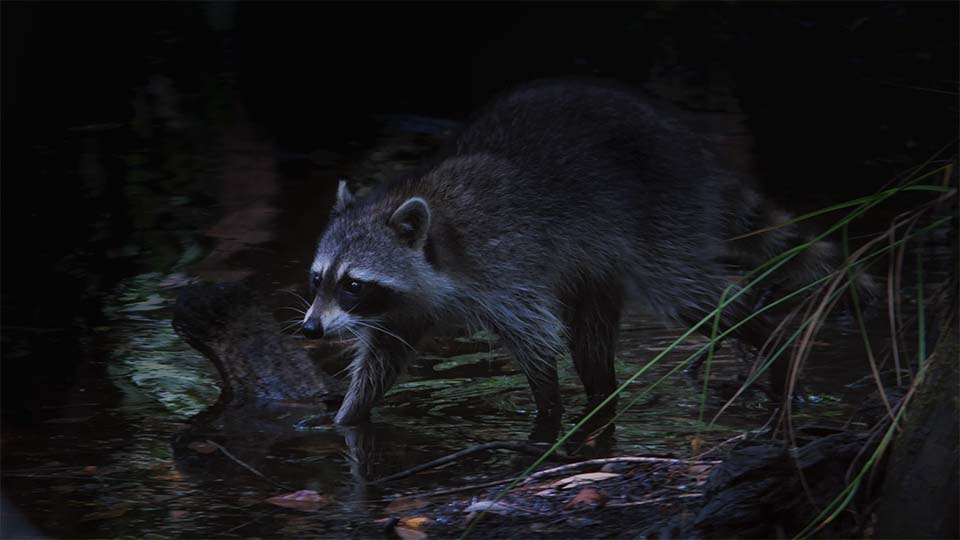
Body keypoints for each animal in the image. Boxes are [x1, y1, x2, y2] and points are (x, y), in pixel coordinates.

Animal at [304, 80, 844, 426]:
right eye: (317, 279)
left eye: (352, 284)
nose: (310, 329)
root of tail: (697, 150)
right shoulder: (402, 305)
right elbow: (382, 359)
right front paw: (349, 415)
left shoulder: (504, 268)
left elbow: (538, 339)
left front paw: (547, 411)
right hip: (600, 262)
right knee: (592, 337)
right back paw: (601, 395)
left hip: (663, 215)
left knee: (690, 293)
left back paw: (772, 342)